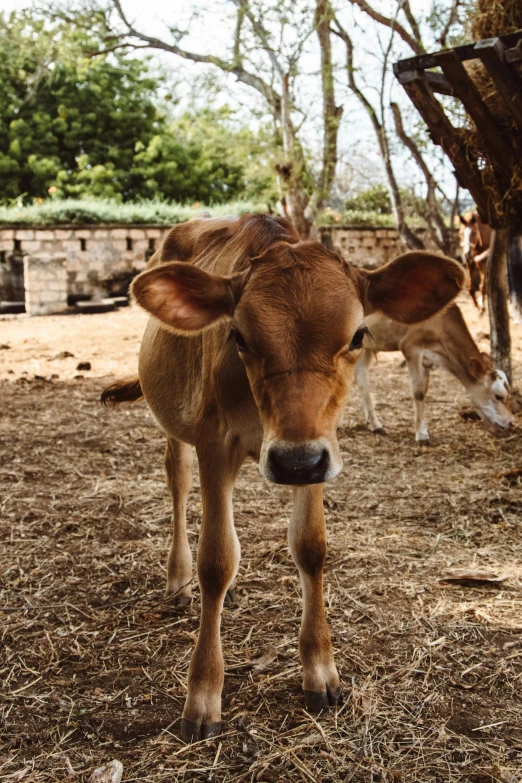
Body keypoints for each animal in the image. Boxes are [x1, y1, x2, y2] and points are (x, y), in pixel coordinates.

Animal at [101, 213, 464, 740]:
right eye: (238, 336)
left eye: (358, 335)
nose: (294, 463)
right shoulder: (215, 441)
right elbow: (217, 560)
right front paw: (202, 696)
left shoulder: (318, 446)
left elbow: (311, 547)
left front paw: (320, 671)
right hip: (173, 421)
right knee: (178, 482)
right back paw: (178, 578)